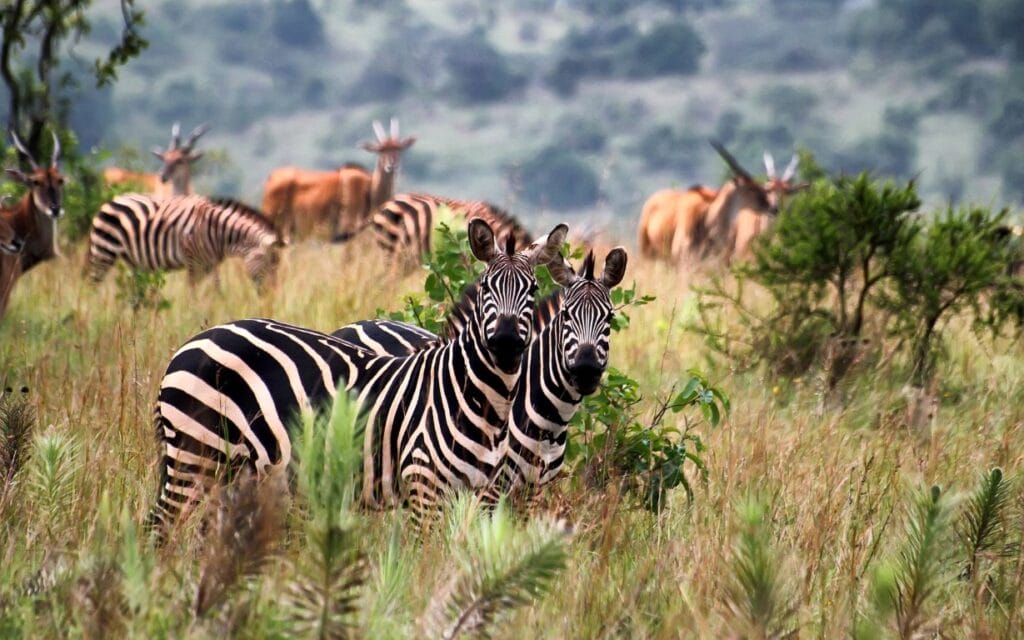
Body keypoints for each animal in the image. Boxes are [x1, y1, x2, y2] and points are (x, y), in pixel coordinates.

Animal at [87, 194, 286, 288]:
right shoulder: (194, 261)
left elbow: (217, 290)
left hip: (131, 260)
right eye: (270, 264)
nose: (271, 296)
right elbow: (194, 292)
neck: (218, 230)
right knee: (93, 285)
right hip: (104, 252)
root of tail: (110, 201)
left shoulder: (210, 263)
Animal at [148, 220, 568, 536]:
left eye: (532, 289)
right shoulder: (424, 487)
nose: (507, 342)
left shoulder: (479, 495)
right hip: (195, 451)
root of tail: (194, 341)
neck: (480, 400)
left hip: (229, 468)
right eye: (485, 288)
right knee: (161, 528)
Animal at [333, 246, 628, 497]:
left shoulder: (532, 492)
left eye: (609, 318)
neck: (550, 420)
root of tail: (353, 325)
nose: (586, 370)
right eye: (566, 315)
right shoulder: (489, 487)